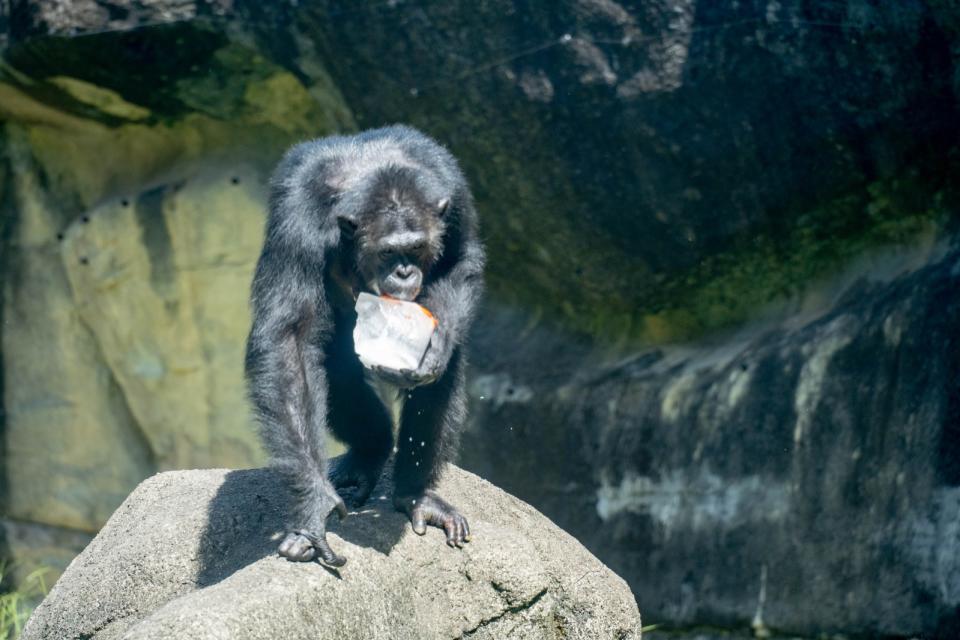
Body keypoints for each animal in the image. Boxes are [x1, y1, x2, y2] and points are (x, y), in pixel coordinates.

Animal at [246, 125, 488, 564]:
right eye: (388, 251)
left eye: (416, 247)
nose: (405, 272)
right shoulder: (297, 218)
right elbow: (290, 339)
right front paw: (313, 508)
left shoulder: (455, 195)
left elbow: (462, 261)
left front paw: (434, 345)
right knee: (335, 367)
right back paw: (370, 453)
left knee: (441, 378)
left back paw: (414, 494)